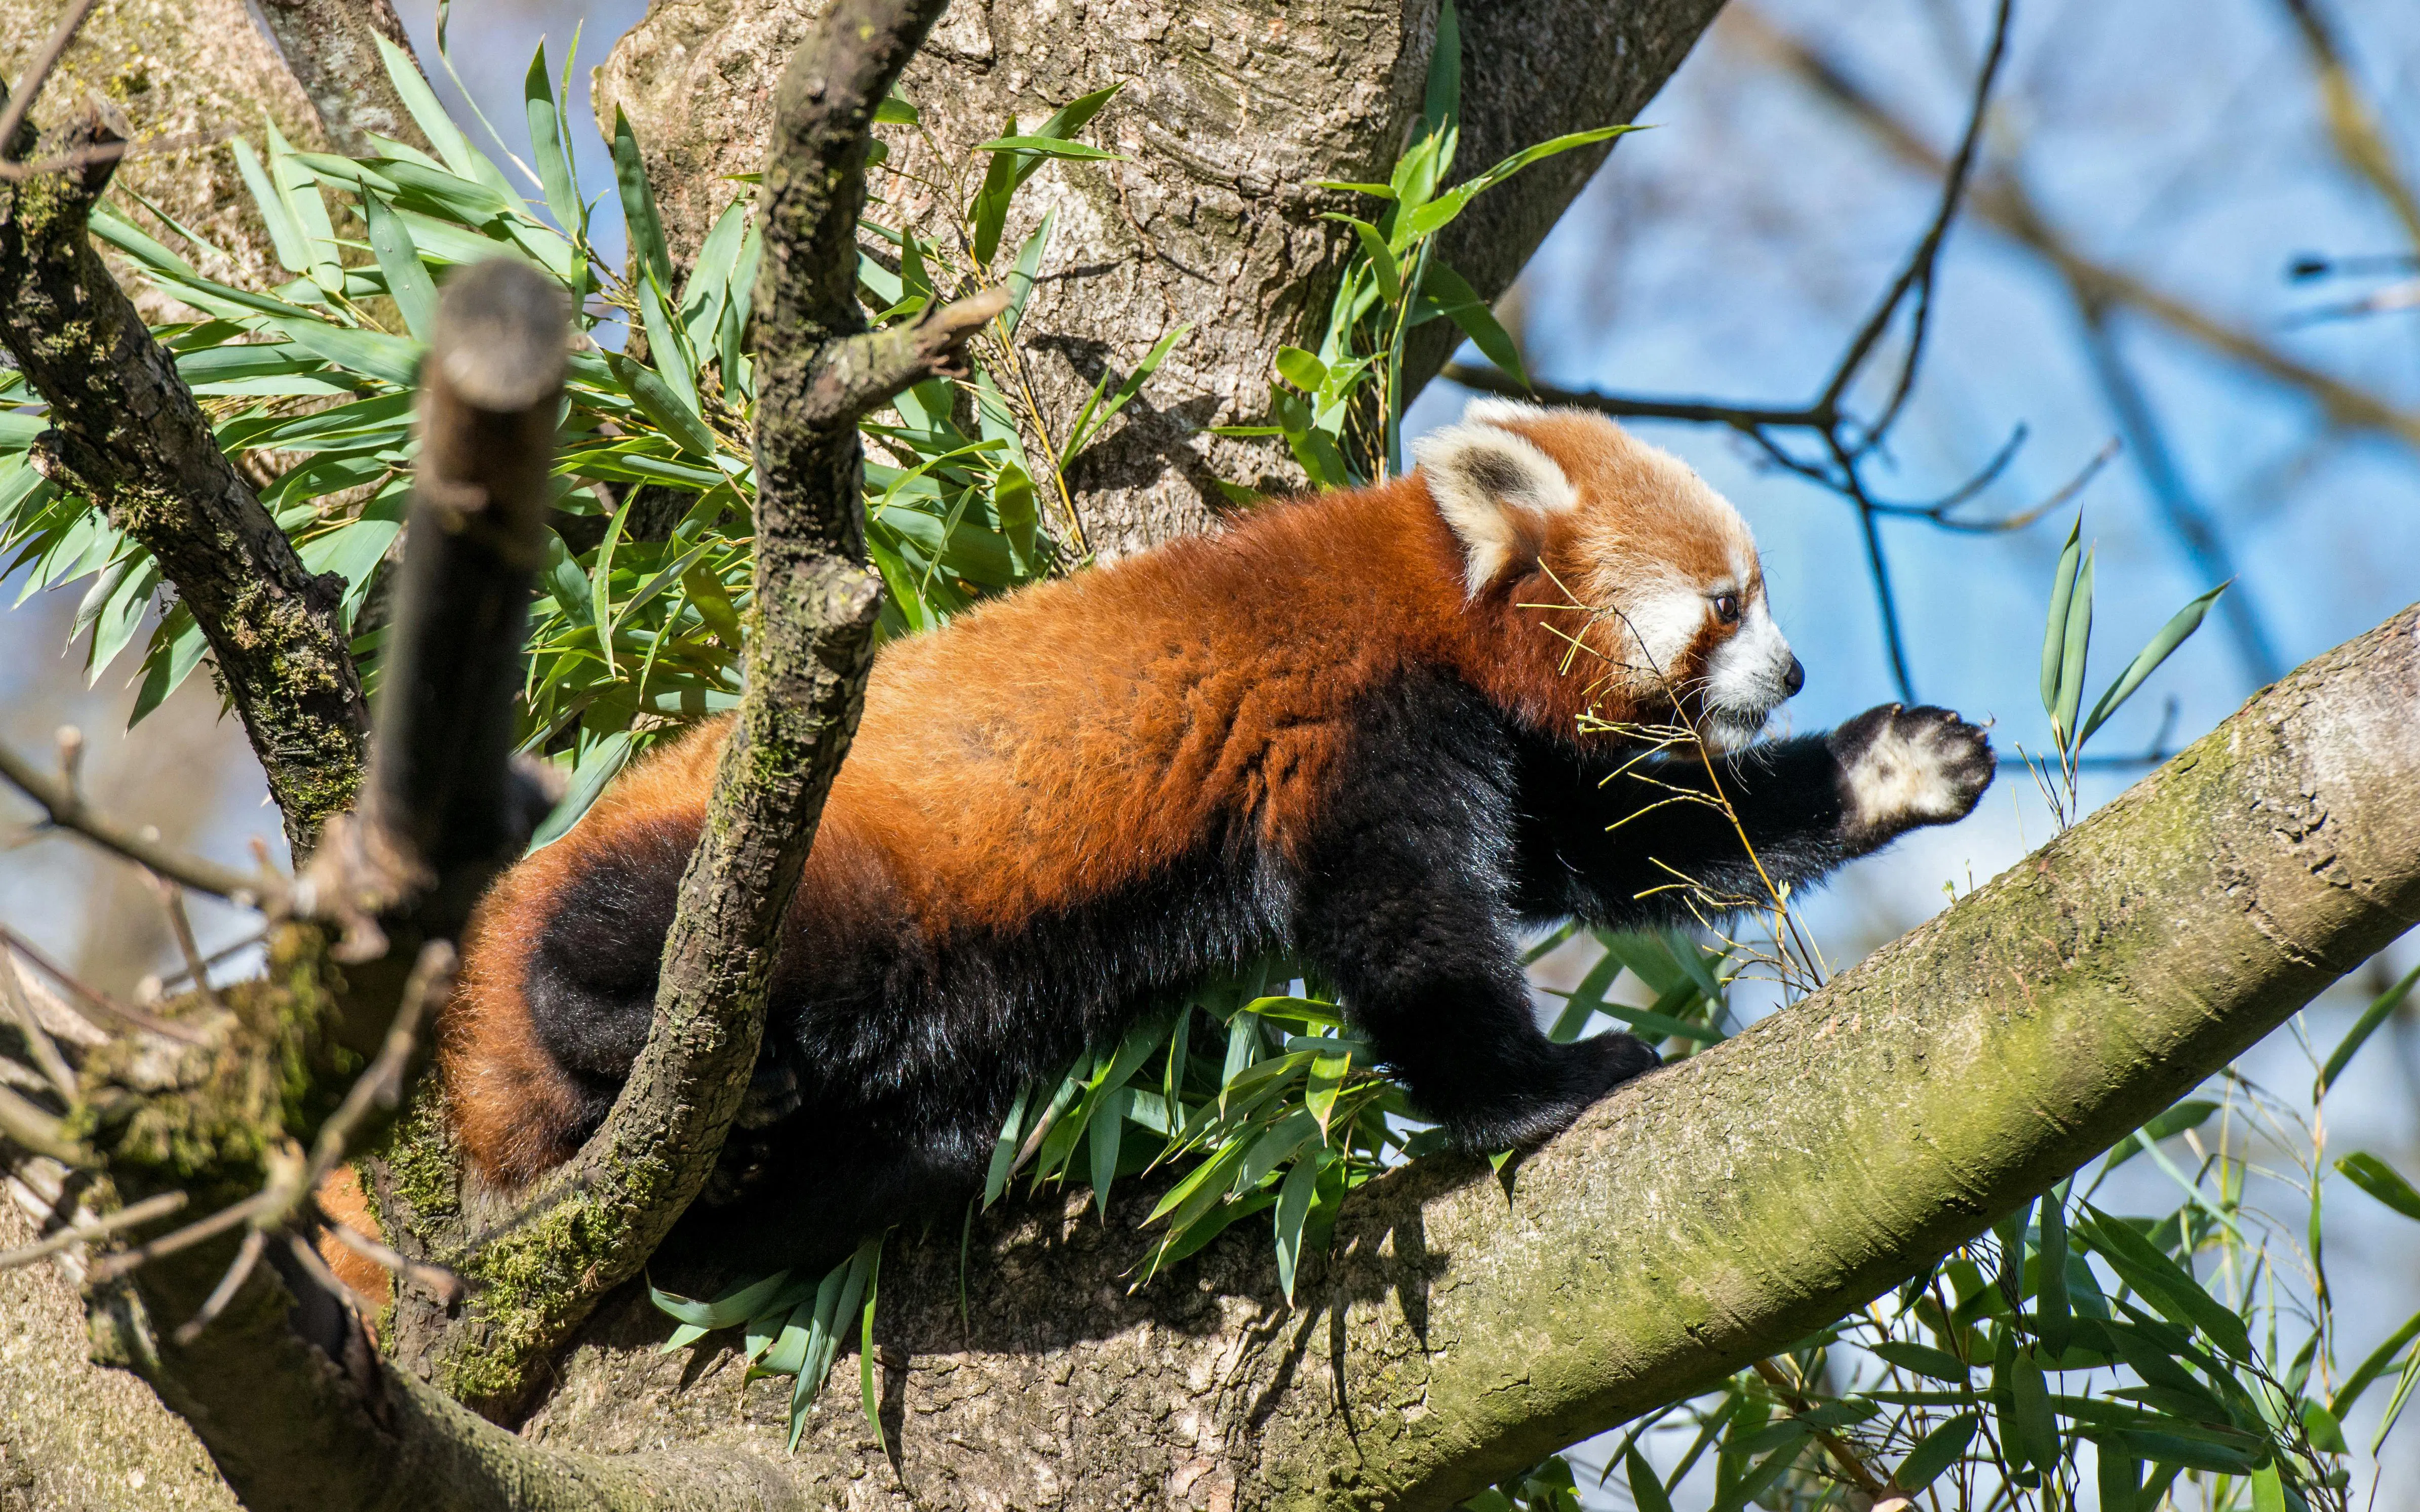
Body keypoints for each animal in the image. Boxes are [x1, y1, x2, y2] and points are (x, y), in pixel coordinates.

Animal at [438, 400, 1994, 1248]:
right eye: (1726, 604)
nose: (1793, 672)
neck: (1427, 595)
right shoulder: (1359, 726)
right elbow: (1411, 929)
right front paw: (1542, 1083)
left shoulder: (1514, 752)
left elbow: (1631, 844)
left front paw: (1894, 766)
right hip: (788, 867)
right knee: (653, 936)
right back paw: (615, 1018)